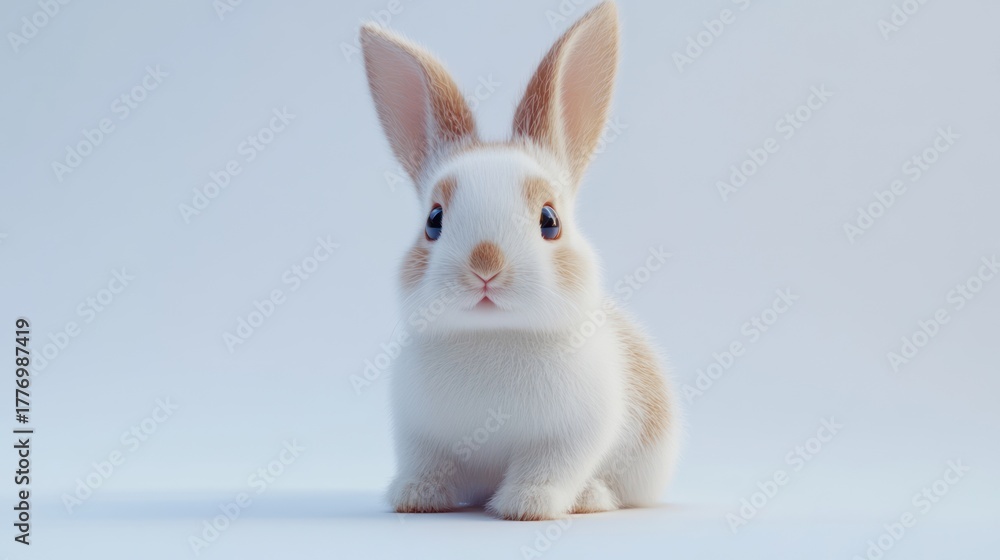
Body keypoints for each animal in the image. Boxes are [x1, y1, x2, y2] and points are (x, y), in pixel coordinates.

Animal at [359, 1, 679, 520]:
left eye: (550, 220)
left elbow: (548, 469)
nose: (486, 263)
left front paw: (527, 506)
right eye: (433, 220)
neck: (494, 335)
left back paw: (591, 498)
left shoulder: (568, 437)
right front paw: (414, 498)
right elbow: (429, 465)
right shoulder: (421, 437)